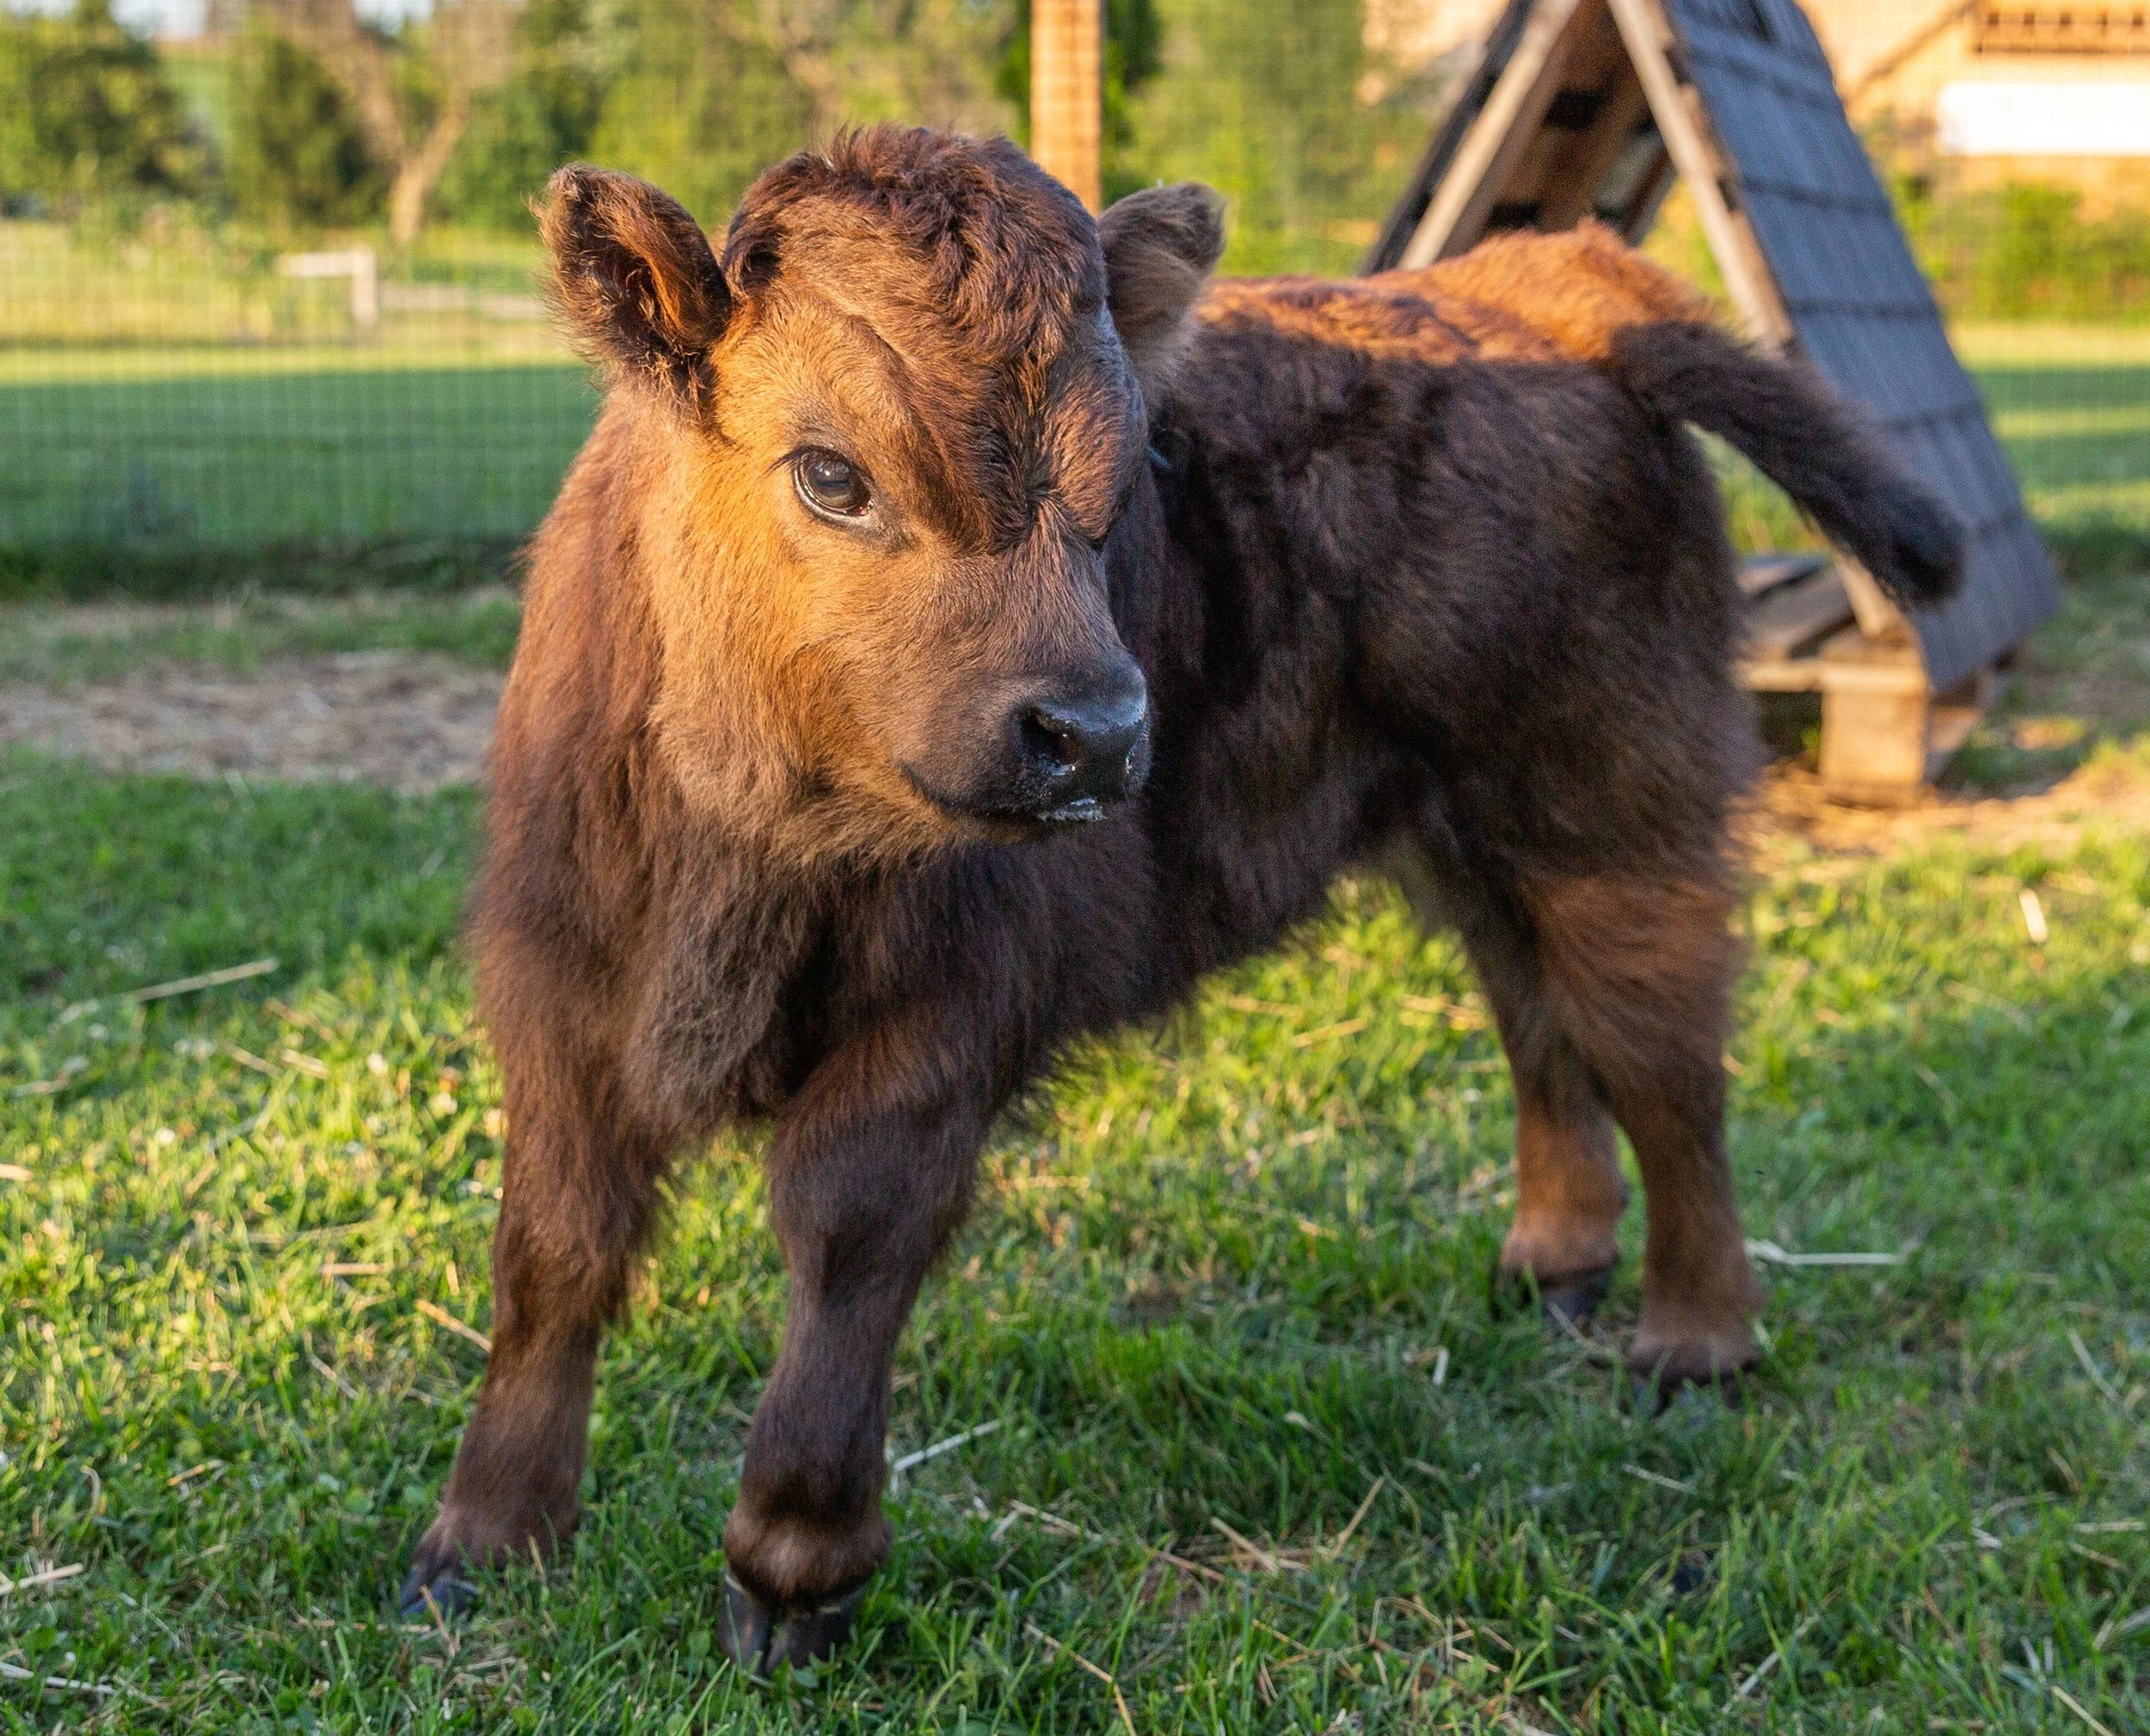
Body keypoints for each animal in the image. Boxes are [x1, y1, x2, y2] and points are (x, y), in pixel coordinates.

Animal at [397, 125, 1962, 1672]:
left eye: (1121, 489)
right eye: (830, 472)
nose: (1093, 732)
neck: (742, 842)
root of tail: (1542, 289)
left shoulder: (932, 1037)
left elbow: (845, 1241)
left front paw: (790, 1572)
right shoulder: (561, 999)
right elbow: (553, 1249)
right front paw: (481, 1542)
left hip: (1616, 813)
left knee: (1661, 1052)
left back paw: (1693, 1340)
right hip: (1476, 831)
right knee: (1537, 1012)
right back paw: (1551, 1263)